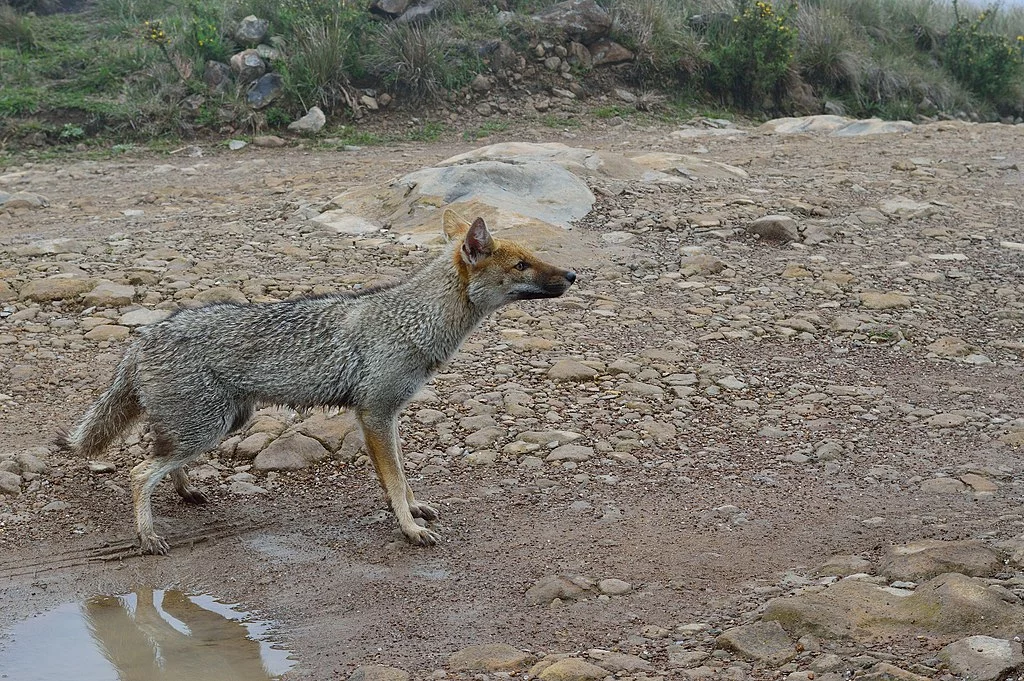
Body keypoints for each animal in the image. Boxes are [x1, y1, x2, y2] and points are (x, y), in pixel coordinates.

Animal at [59, 209, 577, 557]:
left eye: (534, 257)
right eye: (522, 266)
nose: (573, 273)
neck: (415, 322)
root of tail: (147, 333)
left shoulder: (389, 415)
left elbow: (403, 476)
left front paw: (414, 509)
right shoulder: (373, 414)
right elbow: (394, 480)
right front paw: (408, 528)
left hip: (220, 424)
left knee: (159, 458)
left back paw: (187, 493)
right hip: (208, 428)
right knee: (139, 471)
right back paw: (148, 536)